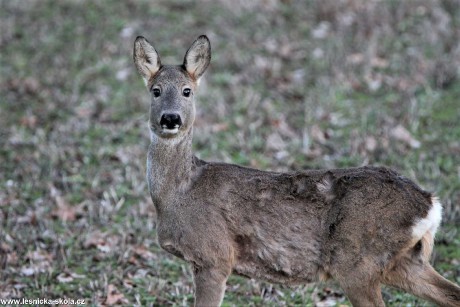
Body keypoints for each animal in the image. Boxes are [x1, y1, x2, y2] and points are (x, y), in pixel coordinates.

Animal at [133, 35, 460, 306]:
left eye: (187, 91)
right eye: (156, 91)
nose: (170, 118)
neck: (178, 194)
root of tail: (430, 204)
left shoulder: (214, 256)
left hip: (358, 263)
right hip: (404, 262)